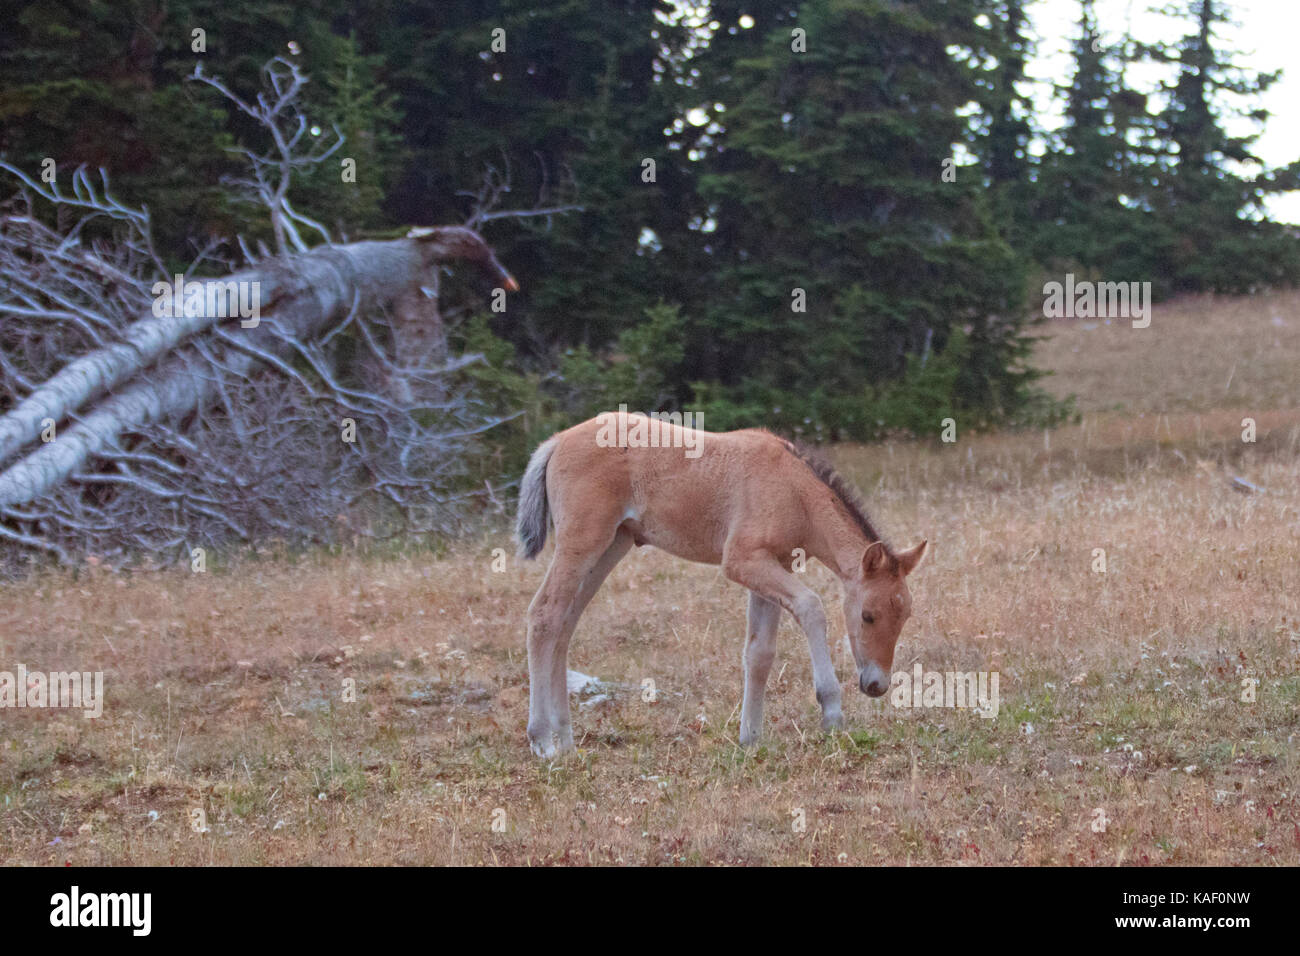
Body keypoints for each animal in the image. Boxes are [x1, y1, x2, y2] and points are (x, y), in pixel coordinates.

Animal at [512, 416, 930, 759]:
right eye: (868, 615)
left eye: (906, 615)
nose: (876, 685)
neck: (794, 491)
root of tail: (555, 442)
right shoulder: (742, 561)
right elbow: (811, 607)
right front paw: (831, 713)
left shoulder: (769, 566)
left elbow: (759, 653)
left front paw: (751, 739)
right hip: (582, 541)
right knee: (544, 614)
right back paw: (542, 741)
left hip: (611, 545)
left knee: (565, 624)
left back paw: (567, 741)